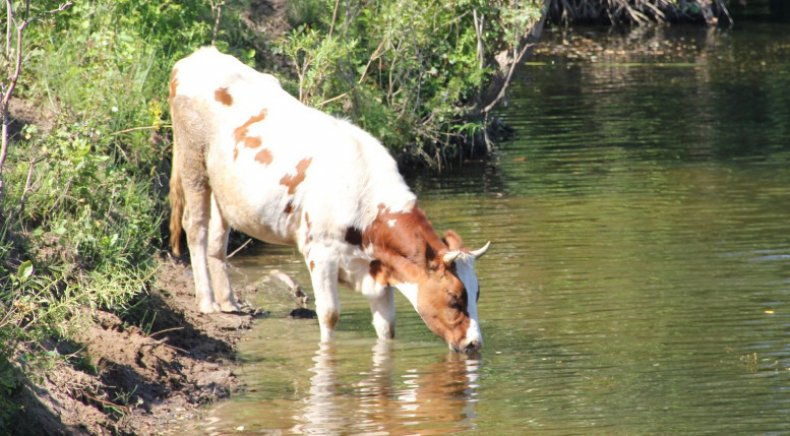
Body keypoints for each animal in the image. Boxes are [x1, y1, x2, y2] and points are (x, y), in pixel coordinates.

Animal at [169, 46, 488, 354]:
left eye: (477, 292)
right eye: (454, 297)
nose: (474, 343)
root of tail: (197, 57)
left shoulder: (379, 272)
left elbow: (387, 328)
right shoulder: (320, 255)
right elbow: (330, 315)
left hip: (224, 188)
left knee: (218, 237)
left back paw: (228, 301)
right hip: (193, 161)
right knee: (195, 227)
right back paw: (207, 301)